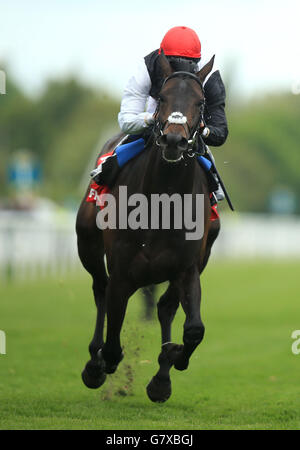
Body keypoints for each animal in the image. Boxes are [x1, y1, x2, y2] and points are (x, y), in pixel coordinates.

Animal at [75, 51, 220, 402]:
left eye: (201, 101)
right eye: (163, 97)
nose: (174, 139)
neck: (162, 202)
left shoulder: (187, 268)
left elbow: (194, 329)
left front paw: (172, 359)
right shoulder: (122, 272)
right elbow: (114, 341)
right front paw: (100, 363)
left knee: (166, 307)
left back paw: (162, 376)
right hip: (87, 244)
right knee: (100, 289)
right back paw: (94, 361)